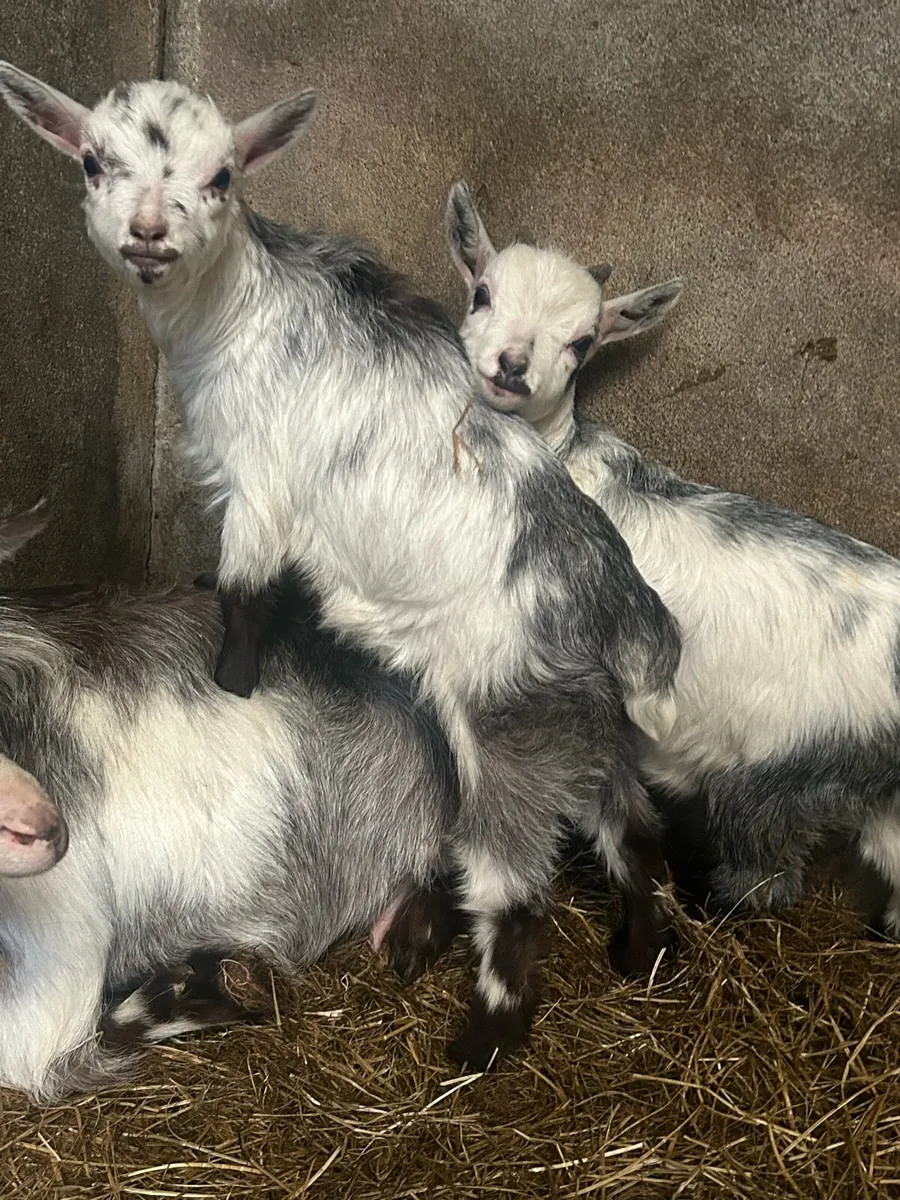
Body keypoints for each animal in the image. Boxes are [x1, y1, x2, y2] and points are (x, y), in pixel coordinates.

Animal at [0, 66, 682, 1064]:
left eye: (222, 177)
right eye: (94, 161)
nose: (150, 234)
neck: (237, 307)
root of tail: (623, 601)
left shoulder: (258, 483)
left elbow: (244, 593)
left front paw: (234, 685)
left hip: (507, 725)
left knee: (516, 888)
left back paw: (481, 1043)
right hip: (586, 725)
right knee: (630, 828)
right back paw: (641, 952)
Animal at [446, 179, 900, 935]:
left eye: (582, 342)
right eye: (481, 293)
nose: (512, 366)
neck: (566, 458)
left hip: (780, 771)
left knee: (762, 870)